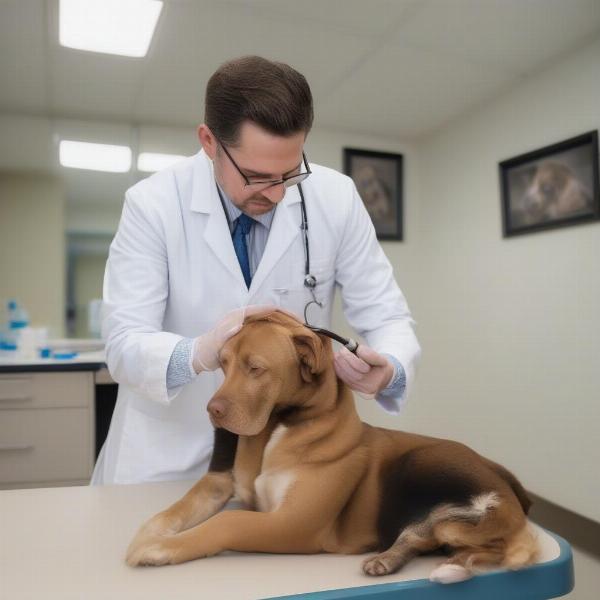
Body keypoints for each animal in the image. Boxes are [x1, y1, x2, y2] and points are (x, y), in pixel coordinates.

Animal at [126, 312, 540, 584]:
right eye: (223, 364)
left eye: (255, 368)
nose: (213, 411)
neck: (280, 426)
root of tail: (508, 485)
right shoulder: (218, 484)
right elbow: (174, 510)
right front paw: (149, 537)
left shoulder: (291, 525)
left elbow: (227, 522)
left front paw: (160, 549)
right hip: (446, 520)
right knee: (427, 536)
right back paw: (394, 561)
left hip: (431, 471)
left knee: (506, 545)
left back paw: (449, 566)